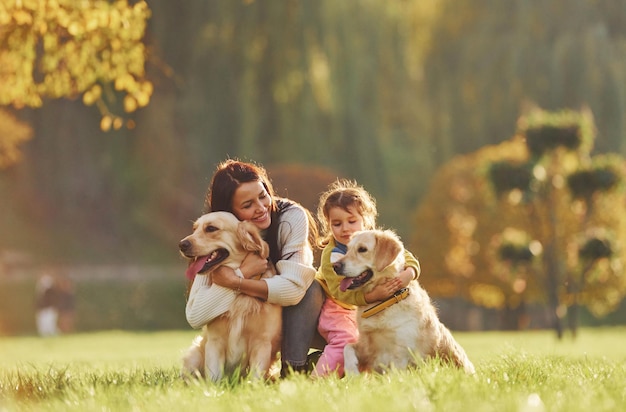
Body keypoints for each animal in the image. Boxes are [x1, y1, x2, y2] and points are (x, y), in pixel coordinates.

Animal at [178, 211, 280, 382]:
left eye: (211, 228)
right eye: (194, 229)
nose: (182, 244)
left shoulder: (262, 343)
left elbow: (255, 378)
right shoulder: (214, 342)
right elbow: (214, 378)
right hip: (194, 356)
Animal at [332, 230, 472, 374]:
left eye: (362, 249)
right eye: (347, 249)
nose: (335, 266)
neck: (383, 302)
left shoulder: (401, 353)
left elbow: (394, 374)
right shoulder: (367, 346)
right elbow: (347, 347)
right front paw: (351, 372)